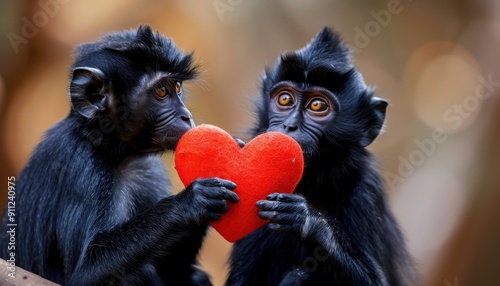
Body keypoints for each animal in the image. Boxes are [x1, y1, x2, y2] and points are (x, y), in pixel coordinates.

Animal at [0, 25, 239, 284]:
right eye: (161, 91)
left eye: (177, 87)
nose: (186, 116)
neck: (111, 150)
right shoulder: (81, 166)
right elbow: (84, 275)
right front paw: (191, 202)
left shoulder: (148, 169)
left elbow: (177, 270)